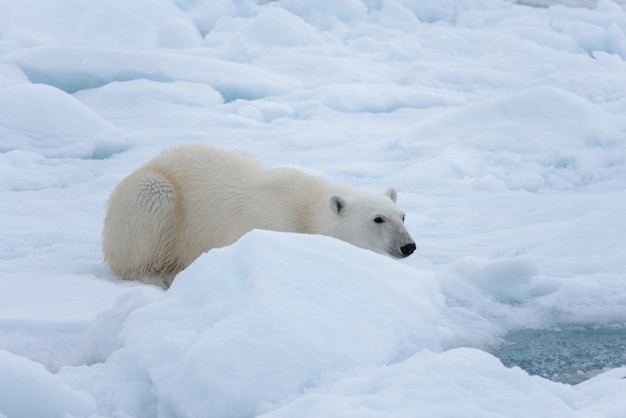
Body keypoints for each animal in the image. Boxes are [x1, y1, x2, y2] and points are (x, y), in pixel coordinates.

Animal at [102, 144, 414, 288]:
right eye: (378, 219)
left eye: (402, 216)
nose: (408, 246)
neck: (305, 211)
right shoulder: (265, 222)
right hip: (152, 197)